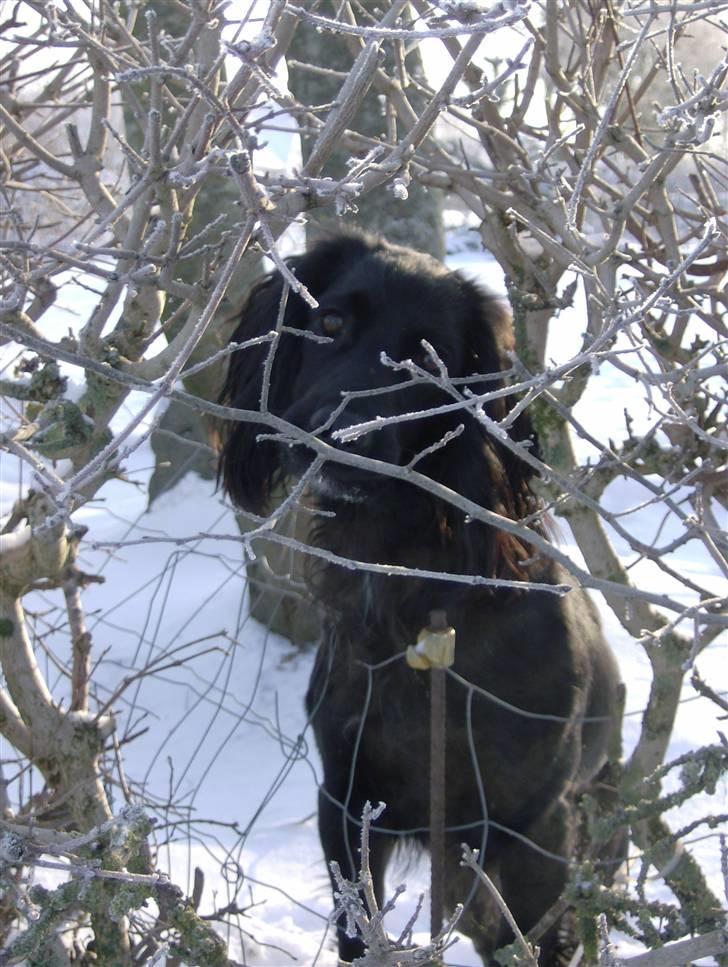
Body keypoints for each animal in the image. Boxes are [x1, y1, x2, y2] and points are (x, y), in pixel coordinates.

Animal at [219, 233, 624, 960]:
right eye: (330, 322)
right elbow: (363, 937)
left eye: (424, 360)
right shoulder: (347, 803)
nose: (340, 434)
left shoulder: (533, 831)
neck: (422, 599)